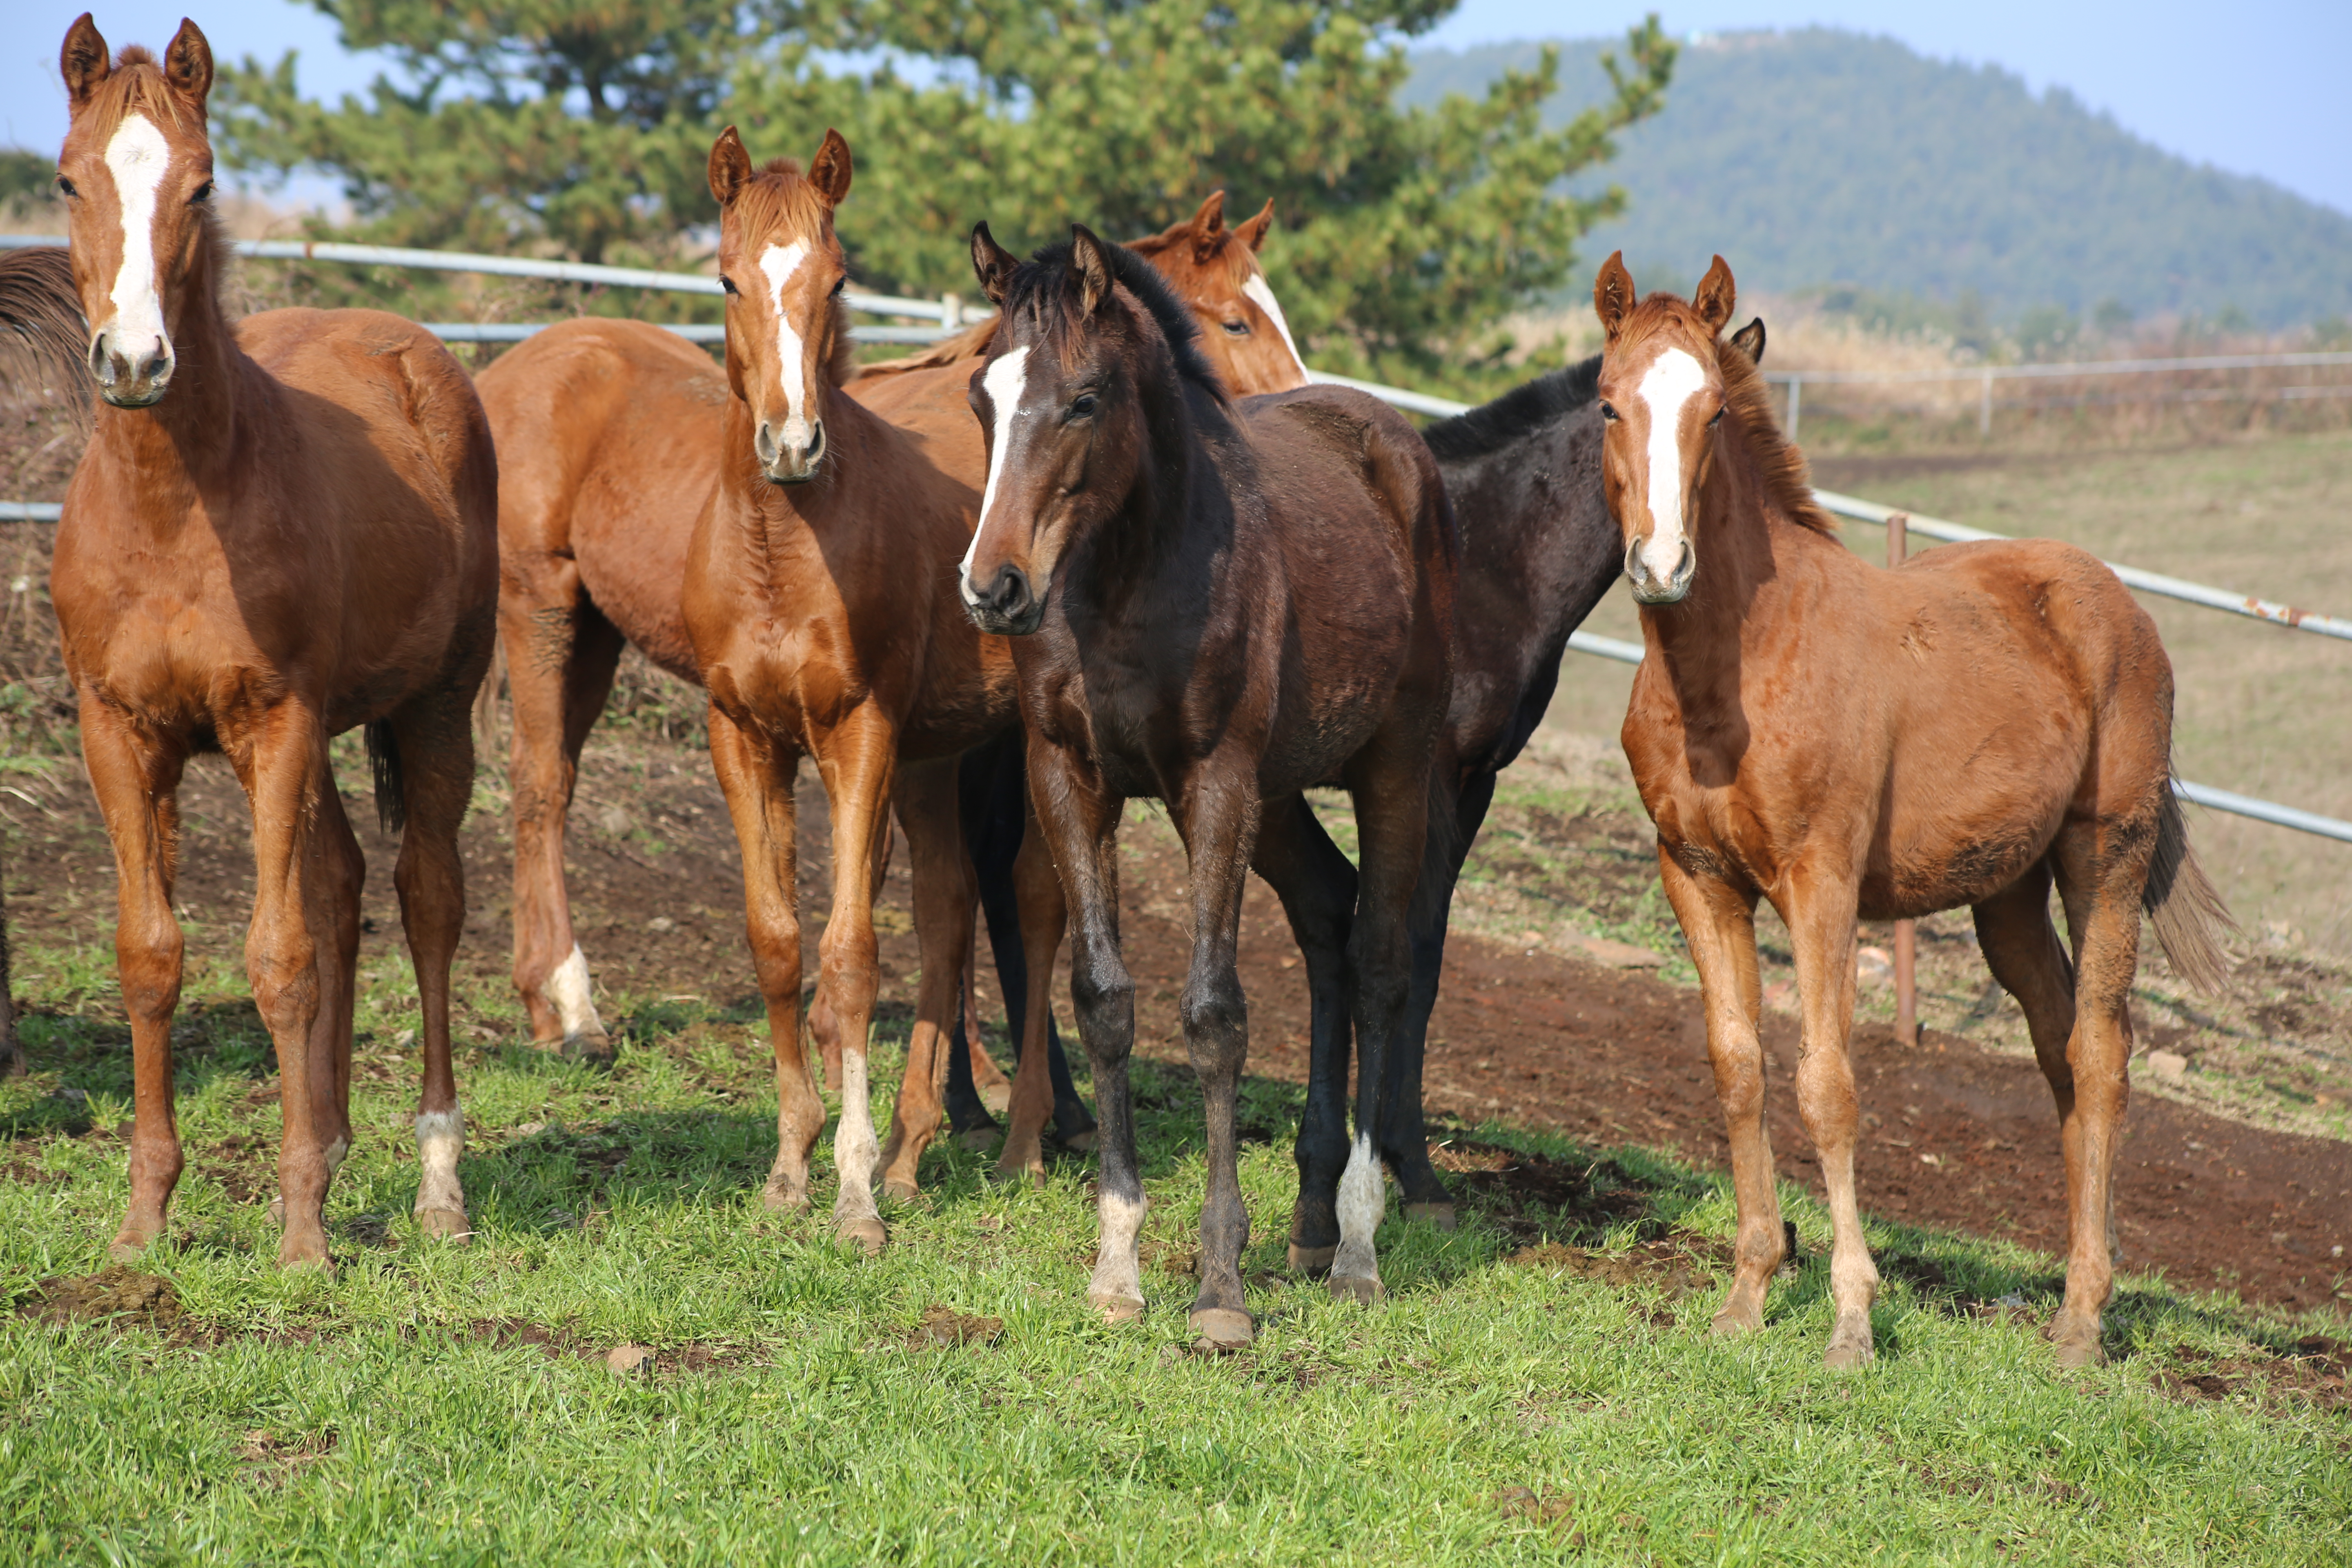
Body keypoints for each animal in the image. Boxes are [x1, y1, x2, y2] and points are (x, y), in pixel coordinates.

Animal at [46, 18, 499, 1269]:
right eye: (68, 179)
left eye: (201, 184)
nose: (135, 361)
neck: (171, 513)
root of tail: (410, 347)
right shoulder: (119, 733)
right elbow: (151, 957)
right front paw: (144, 1224)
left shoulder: (276, 721)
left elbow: (278, 958)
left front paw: (301, 1237)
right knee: (343, 882)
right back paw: (336, 1145)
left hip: (431, 706)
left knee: (425, 895)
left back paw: (437, 1181)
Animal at [960, 223, 1449, 1354]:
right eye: (980, 396)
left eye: (1085, 397)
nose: (993, 588)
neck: (1130, 582)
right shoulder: (1070, 778)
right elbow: (1103, 1001)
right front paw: (1117, 1265)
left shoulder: (1215, 784)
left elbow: (1215, 1014)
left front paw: (1220, 1284)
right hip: (1282, 798)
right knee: (1327, 915)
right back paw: (1310, 1225)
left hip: (1394, 764)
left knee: (1377, 959)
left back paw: (1356, 1246)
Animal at [1590, 252, 2230, 1363]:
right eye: (1605, 404)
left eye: (1713, 411)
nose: (1661, 566)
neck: (1733, 675)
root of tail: (2116, 601)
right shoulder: (1696, 874)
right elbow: (1738, 1067)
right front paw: (1748, 1293)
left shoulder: (1822, 881)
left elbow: (1828, 1082)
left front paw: (1850, 1317)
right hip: (2005, 894)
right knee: (2058, 1050)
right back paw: (2077, 1286)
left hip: (2101, 856)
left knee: (2102, 1052)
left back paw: (2081, 1324)